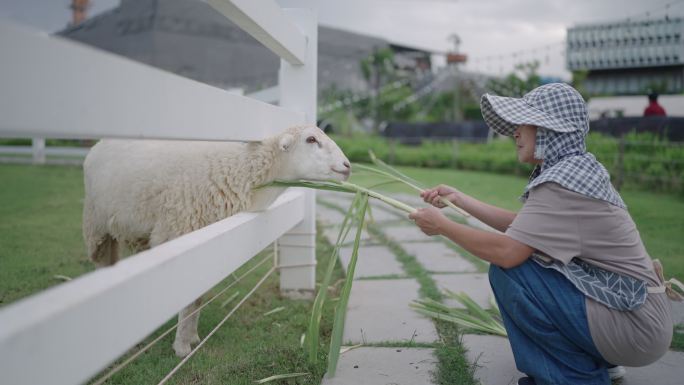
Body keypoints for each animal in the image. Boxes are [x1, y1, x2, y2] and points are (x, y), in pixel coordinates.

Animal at [83, 124, 350, 356]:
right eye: (311, 139)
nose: (347, 166)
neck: (239, 173)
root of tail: (100, 143)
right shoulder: (182, 232)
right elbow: (189, 299)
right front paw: (182, 347)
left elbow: (199, 297)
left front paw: (192, 336)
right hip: (96, 225)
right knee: (101, 264)